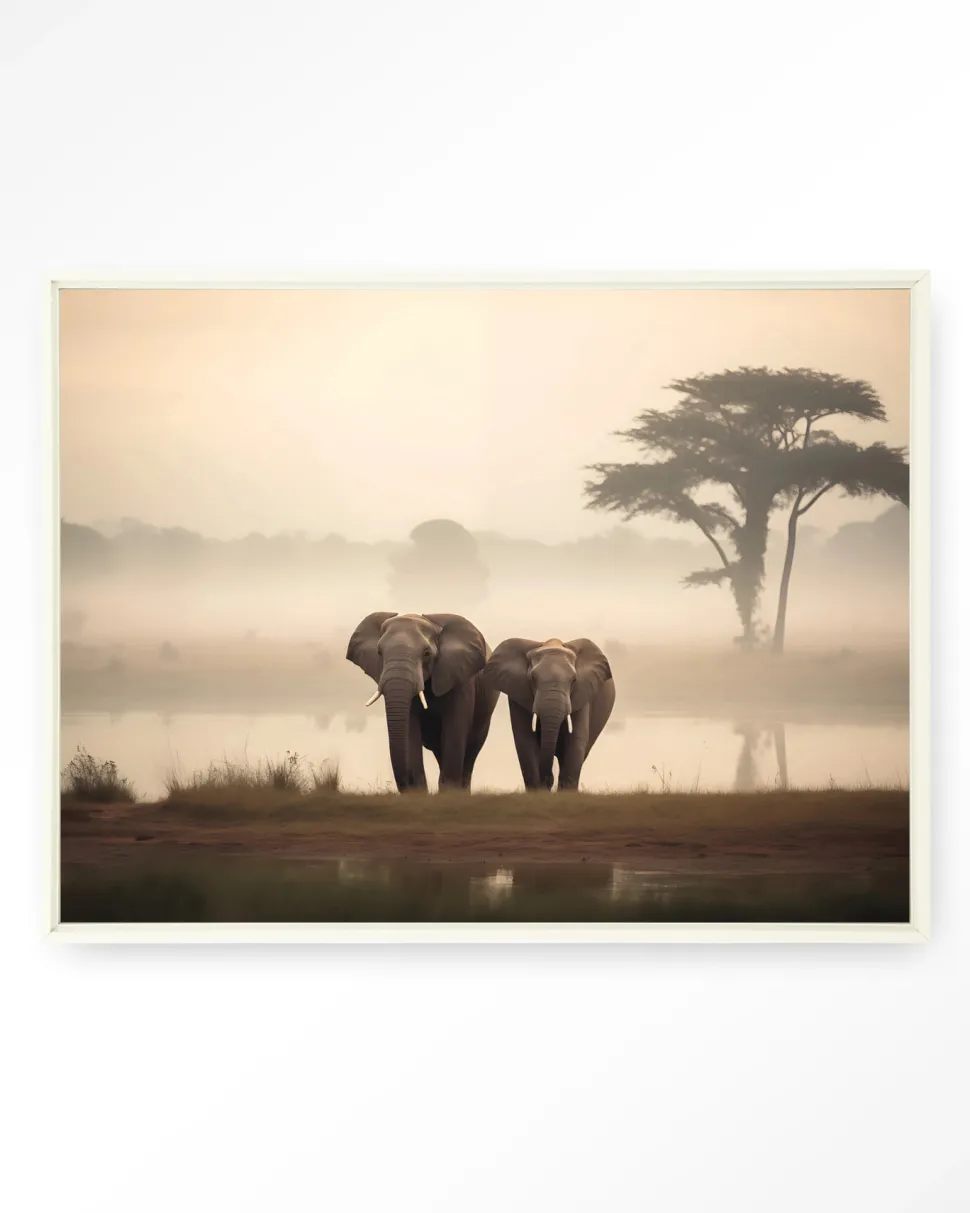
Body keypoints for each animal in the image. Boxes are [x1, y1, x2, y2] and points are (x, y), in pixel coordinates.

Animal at [346, 612, 499, 793]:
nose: (407, 783)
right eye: (379, 652)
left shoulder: (461, 681)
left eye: (426, 653)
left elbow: (455, 730)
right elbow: (410, 732)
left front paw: (449, 793)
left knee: (470, 754)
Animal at [483, 637, 615, 791]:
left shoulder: (583, 692)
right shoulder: (517, 693)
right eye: (533, 678)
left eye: (573, 680)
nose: (548, 780)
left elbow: (576, 740)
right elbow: (524, 740)